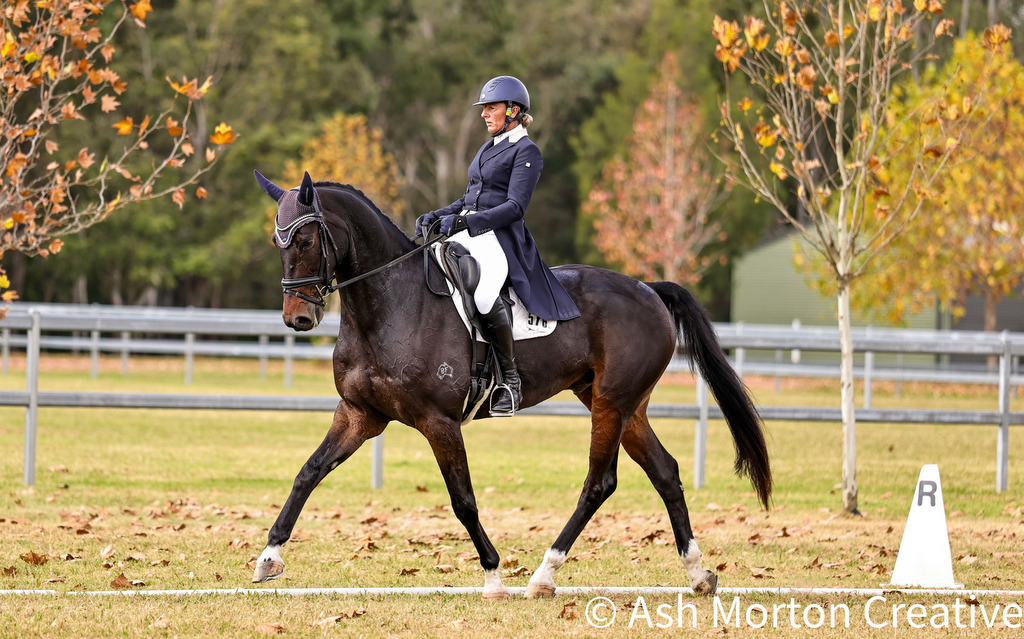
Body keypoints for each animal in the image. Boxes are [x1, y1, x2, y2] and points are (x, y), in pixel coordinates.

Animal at [251, 170, 771, 599]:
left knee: (599, 483)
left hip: (611, 404)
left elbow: (463, 501)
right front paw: (269, 558)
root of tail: (648, 289)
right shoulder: (360, 415)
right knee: (664, 472)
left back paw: (543, 575)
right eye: (277, 241)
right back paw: (698, 574)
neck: (390, 304)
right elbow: (308, 473)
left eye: (305, 240)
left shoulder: (438, 422)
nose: (298, 319)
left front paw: (494, 577)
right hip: (623, 406)